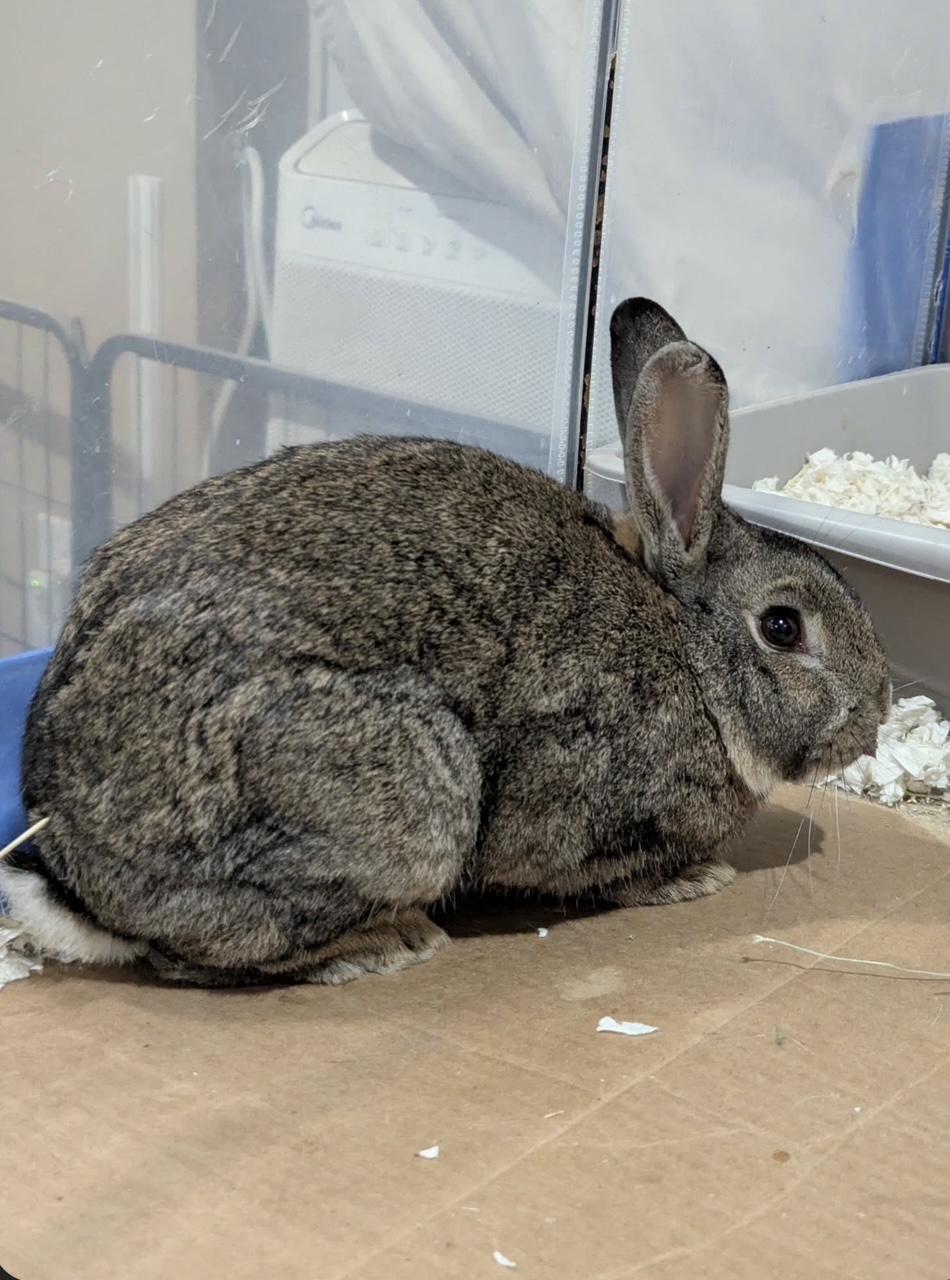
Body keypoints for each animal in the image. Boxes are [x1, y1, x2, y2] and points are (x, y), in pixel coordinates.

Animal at [3, 298, 890, 987]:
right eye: (783, 626)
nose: (877, 711)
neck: (692, 656)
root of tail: (73, 873)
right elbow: (601, 872)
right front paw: (692, 880)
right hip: (397, 794)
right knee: (199, 954)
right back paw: (381, 943)